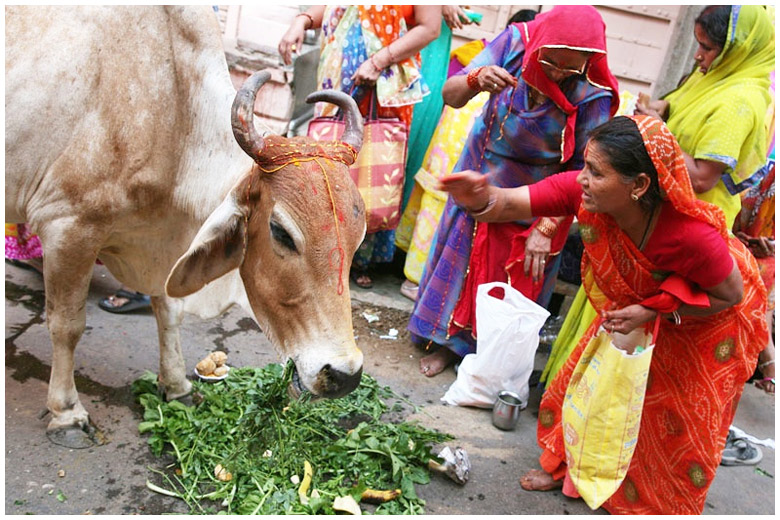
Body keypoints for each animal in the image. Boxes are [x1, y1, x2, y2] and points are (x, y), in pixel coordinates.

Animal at [4, 5, 368, 450]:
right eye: (282, 232)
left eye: (358, 239)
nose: (345, 375)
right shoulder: (68, 227)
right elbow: (67, 325)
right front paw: (67, 413)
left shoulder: (166, 248)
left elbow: (170, 310)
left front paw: (176, 385)